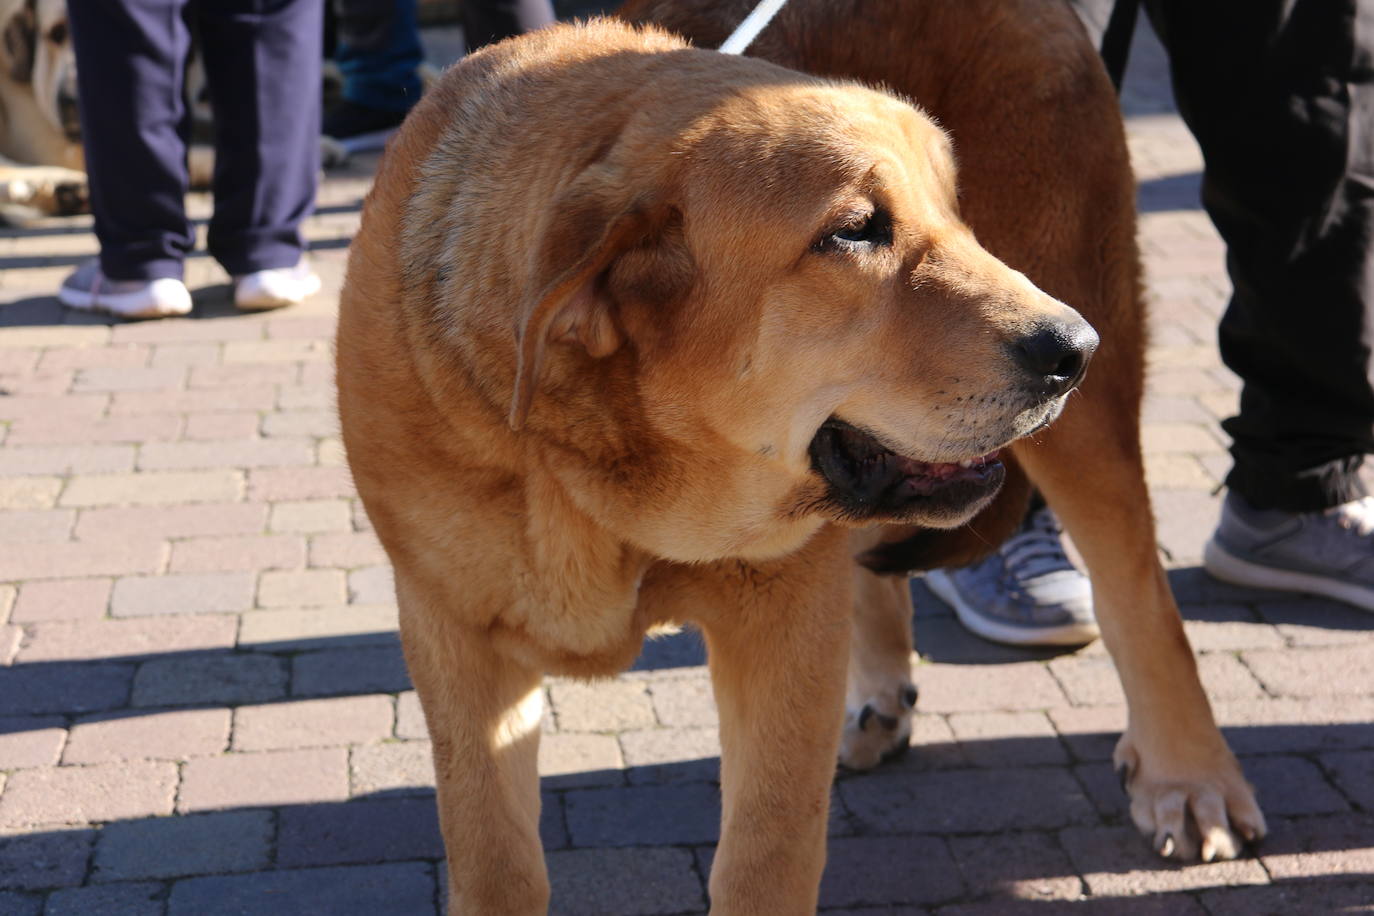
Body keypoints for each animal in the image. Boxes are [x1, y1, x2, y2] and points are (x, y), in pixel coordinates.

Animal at [338, 10, 1258, 911]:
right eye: (854, 232)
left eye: (952, 213)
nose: (1074, 349)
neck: (602, 485)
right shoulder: (454, 635)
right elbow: (495, 863)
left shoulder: (781, 615)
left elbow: (766, 856)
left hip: (1086, 416)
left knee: (1136, 591)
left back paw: (1189, 776)